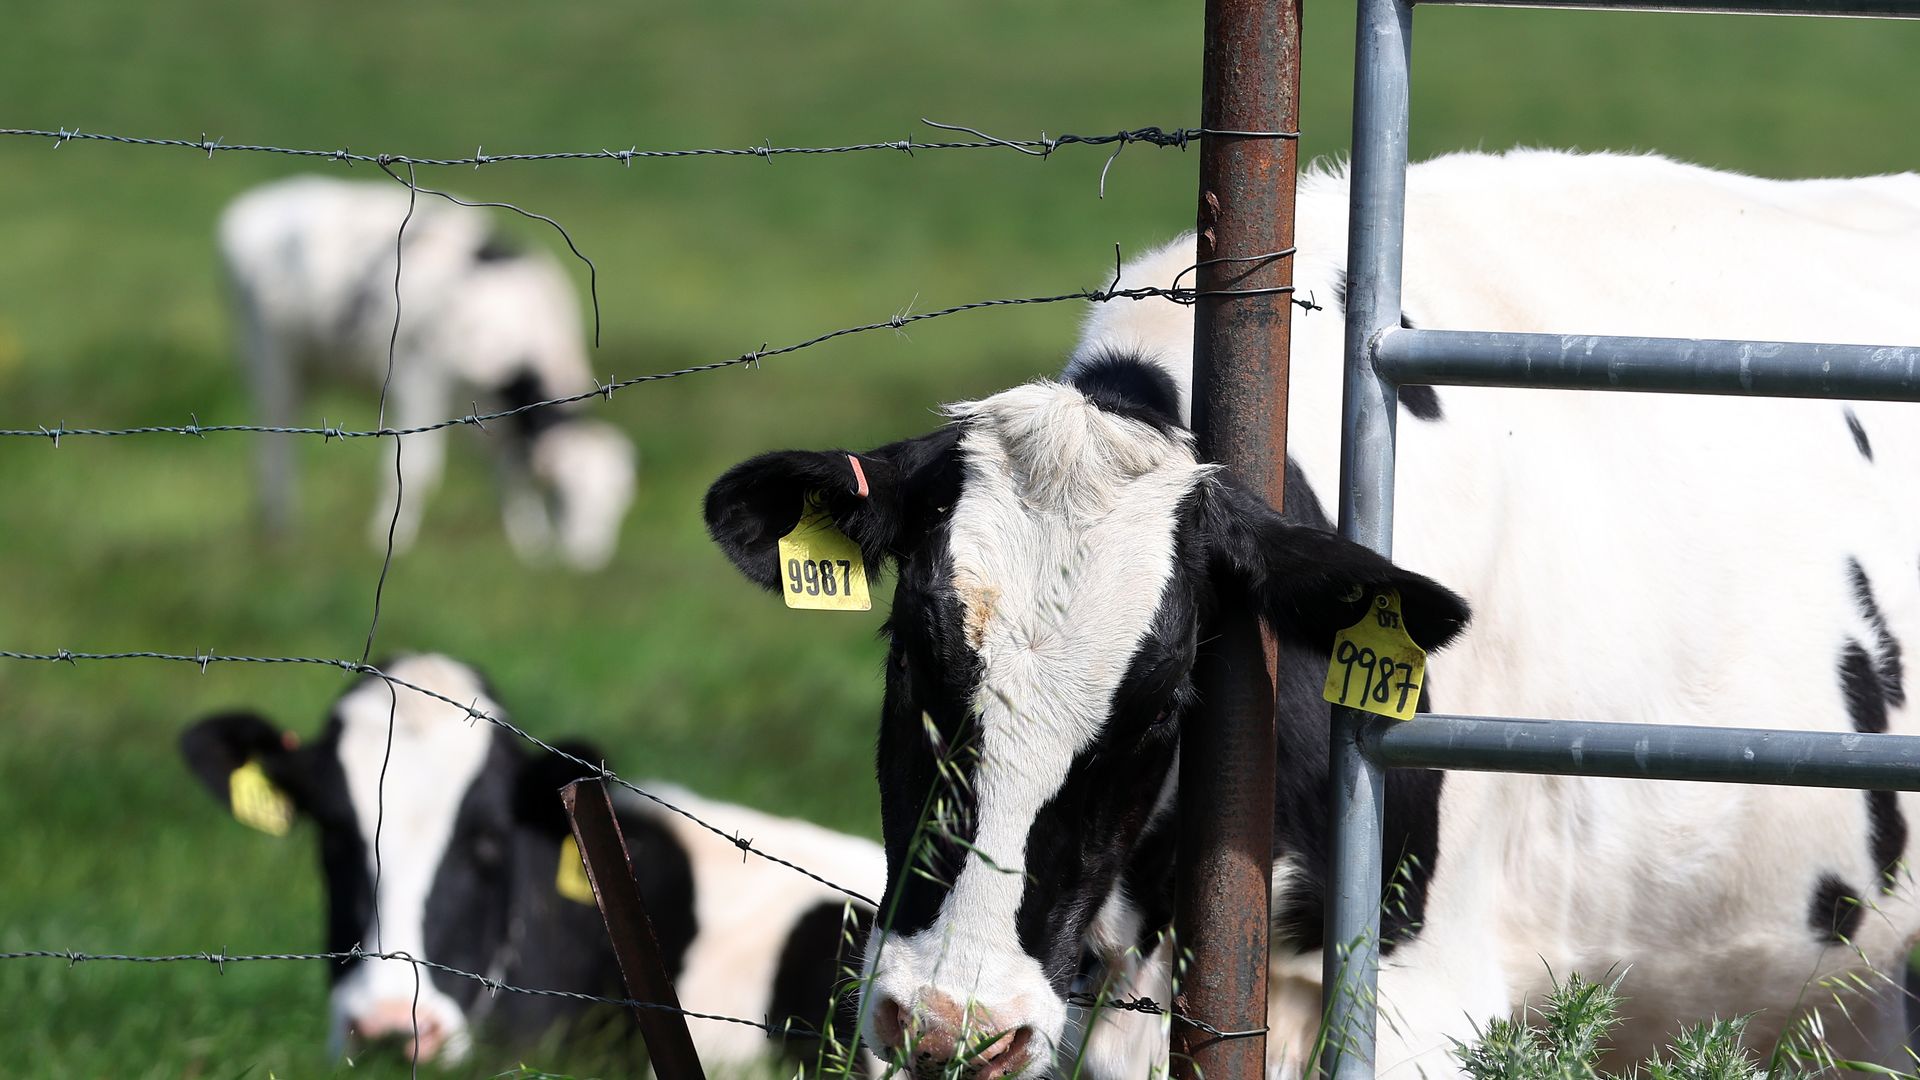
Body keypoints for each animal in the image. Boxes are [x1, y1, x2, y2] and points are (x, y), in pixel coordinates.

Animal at [218, 176, 637, 571]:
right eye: (562, 495)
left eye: (618, 503)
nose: (587, 559)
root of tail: (260, 202)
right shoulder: (417, 377)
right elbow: (416, 470)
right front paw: (389, 542)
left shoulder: (492, 413)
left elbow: (509, 473)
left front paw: (530, 549)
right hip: (269, 355)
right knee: (274, 444)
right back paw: (281, 530)